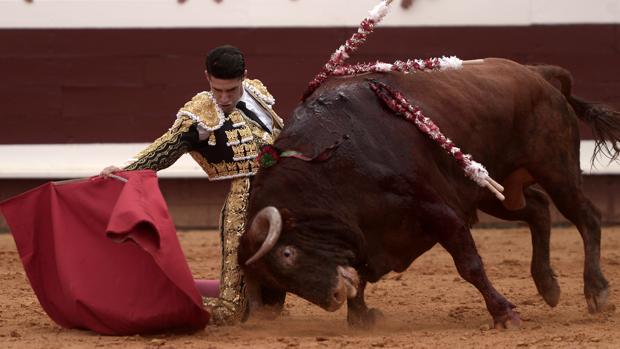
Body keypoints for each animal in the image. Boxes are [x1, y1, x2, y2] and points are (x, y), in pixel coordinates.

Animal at [237, 58, 620, 328]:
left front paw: (504, 314)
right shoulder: (369, 233)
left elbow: (469, 265)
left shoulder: (437, 210)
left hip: (556, 170)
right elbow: (360, 272)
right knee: (538, 208)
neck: (328, 163)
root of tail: (537, 73)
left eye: (287, 254)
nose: (332, 297)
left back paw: (596, 290)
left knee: (586, 218)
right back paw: (548, 286)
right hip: (491, 189)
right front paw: (361, 317)